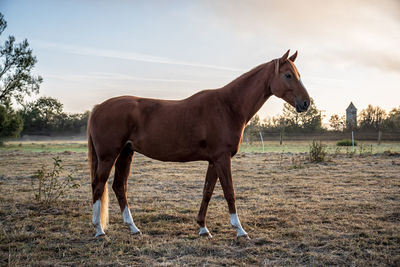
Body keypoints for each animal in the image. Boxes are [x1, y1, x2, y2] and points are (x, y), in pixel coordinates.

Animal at [87, 50, 310, 239]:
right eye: (288, 75)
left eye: (297, 74)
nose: (306, 103)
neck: (228, 106)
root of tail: (98, 108)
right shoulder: (222, 159)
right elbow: (229, 192)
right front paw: (240, 230)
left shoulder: (214, 161)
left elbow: (207, 192)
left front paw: (203, 228)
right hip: (108, 156)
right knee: (98, 185)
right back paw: (99, 230)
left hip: (126, 153)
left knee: (119, 186)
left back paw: (133, 228)